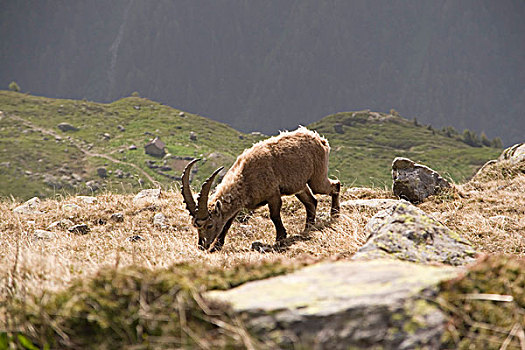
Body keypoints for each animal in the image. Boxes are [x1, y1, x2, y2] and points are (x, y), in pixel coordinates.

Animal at [182, 127, 342, 250]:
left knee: (335, 185)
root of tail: (320, 140)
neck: (245, 177)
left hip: (317, 178)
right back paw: (308, 228)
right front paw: (217, 246)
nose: (201, 245)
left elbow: (274, 216)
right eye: (196, 226)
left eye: (209, 225)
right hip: (299, 187)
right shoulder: (239, 205)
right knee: (311, 202)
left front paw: (280, 238)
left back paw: (334, 215)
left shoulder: (273, 195)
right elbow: (227, 223)